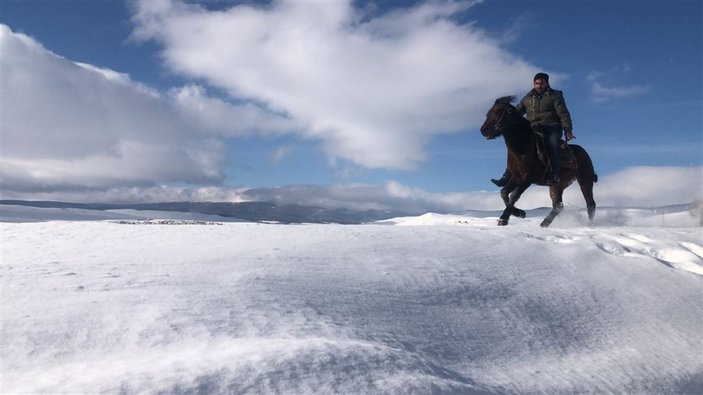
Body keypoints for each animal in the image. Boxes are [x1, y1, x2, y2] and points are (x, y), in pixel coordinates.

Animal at [482, 96, 596, 229]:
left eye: (498, 112)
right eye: (488, 112)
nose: (483, 130)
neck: (522, 147)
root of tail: (584, 153)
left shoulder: (527, 178)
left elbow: (514, 195)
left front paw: (504, 218)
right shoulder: (516, 177)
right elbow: (504, 193)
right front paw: (520, 213)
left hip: (585, 180)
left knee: (590, 204)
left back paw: (590, 225)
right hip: (556, 186)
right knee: (558, 206)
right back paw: (544, 224)